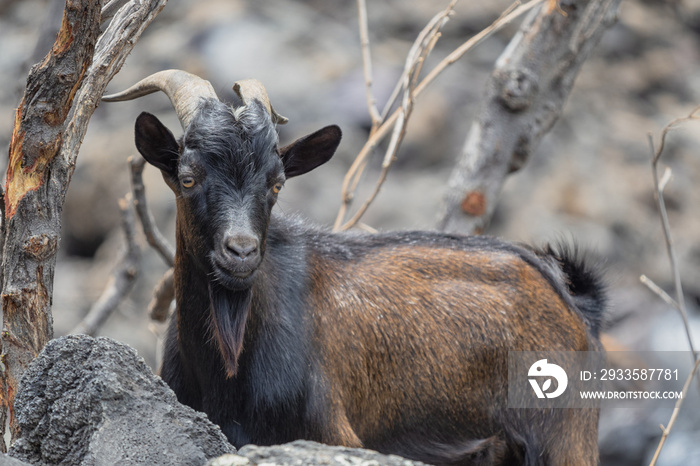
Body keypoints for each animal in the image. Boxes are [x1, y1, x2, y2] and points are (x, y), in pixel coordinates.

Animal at [104, 70, 608, 466]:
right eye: (188, 179)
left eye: (276, 184)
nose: (241, 252)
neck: (225, 366)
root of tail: (568, 296)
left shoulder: (334, 435)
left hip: (564, 439)